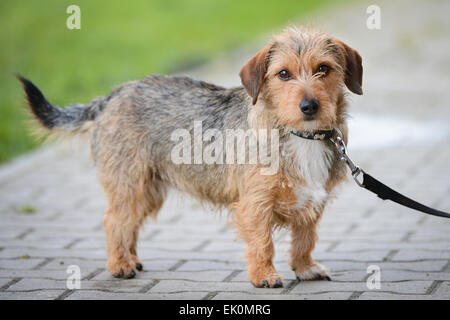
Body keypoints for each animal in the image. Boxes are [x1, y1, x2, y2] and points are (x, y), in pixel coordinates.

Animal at [17, 26, 362, 288]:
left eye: (323, 69)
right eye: (283, 74)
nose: (309, 106)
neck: (300, 136)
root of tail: (111, 96)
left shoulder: (312, 203)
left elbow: (305, 239)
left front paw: (305, 268)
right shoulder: (256, 204)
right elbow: (263, 243)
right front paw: (264, 275)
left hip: (149, 191)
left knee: (128, 224)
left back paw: (131, 259)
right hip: (129, 184)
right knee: (113, 220)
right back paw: (119, 264)